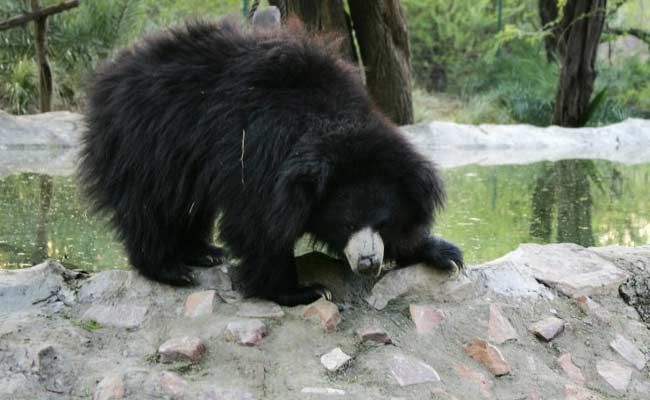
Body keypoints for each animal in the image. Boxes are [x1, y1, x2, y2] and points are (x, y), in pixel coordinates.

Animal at [79, 18, 460, 306]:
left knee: (189, 204)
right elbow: (259, 222)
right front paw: (301, 290)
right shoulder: (259, 149)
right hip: (148, 140)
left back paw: (203, 252)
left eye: (384, 221)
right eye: (346, 222)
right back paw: (169, 268)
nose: (368, 263)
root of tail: (113, 71)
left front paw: (441, 253)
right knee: (153, 203)